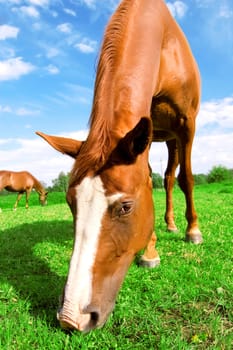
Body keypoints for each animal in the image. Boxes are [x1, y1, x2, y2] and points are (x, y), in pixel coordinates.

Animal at [36, 0, 202, 334]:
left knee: (173, 177)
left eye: (125, 207)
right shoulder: (142, 129)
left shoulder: (186, 124)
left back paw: (180, 226)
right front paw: (151, 250)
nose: (72, 317)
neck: (164, 46)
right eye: (71, 203)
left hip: (174, 137)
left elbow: (187, 179)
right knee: (165, 178)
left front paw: (193, 231)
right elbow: (148, 179)